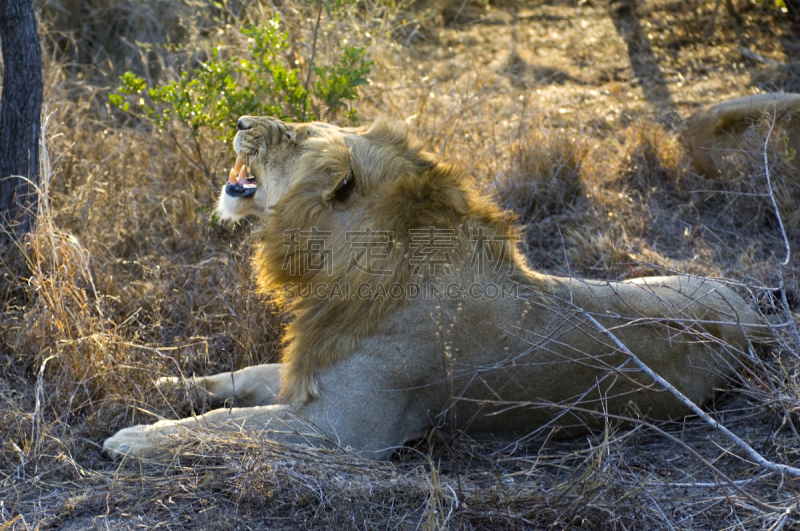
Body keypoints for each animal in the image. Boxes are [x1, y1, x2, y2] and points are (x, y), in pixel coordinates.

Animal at [103, 116, 764, 462]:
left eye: (292, 134)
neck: (337, 267)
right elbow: (235, 380)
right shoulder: (306, 371)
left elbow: (226, 425)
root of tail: (752, 307)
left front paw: (131, 436)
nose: (240, 122)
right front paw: (162, 386)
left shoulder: (344, 431)